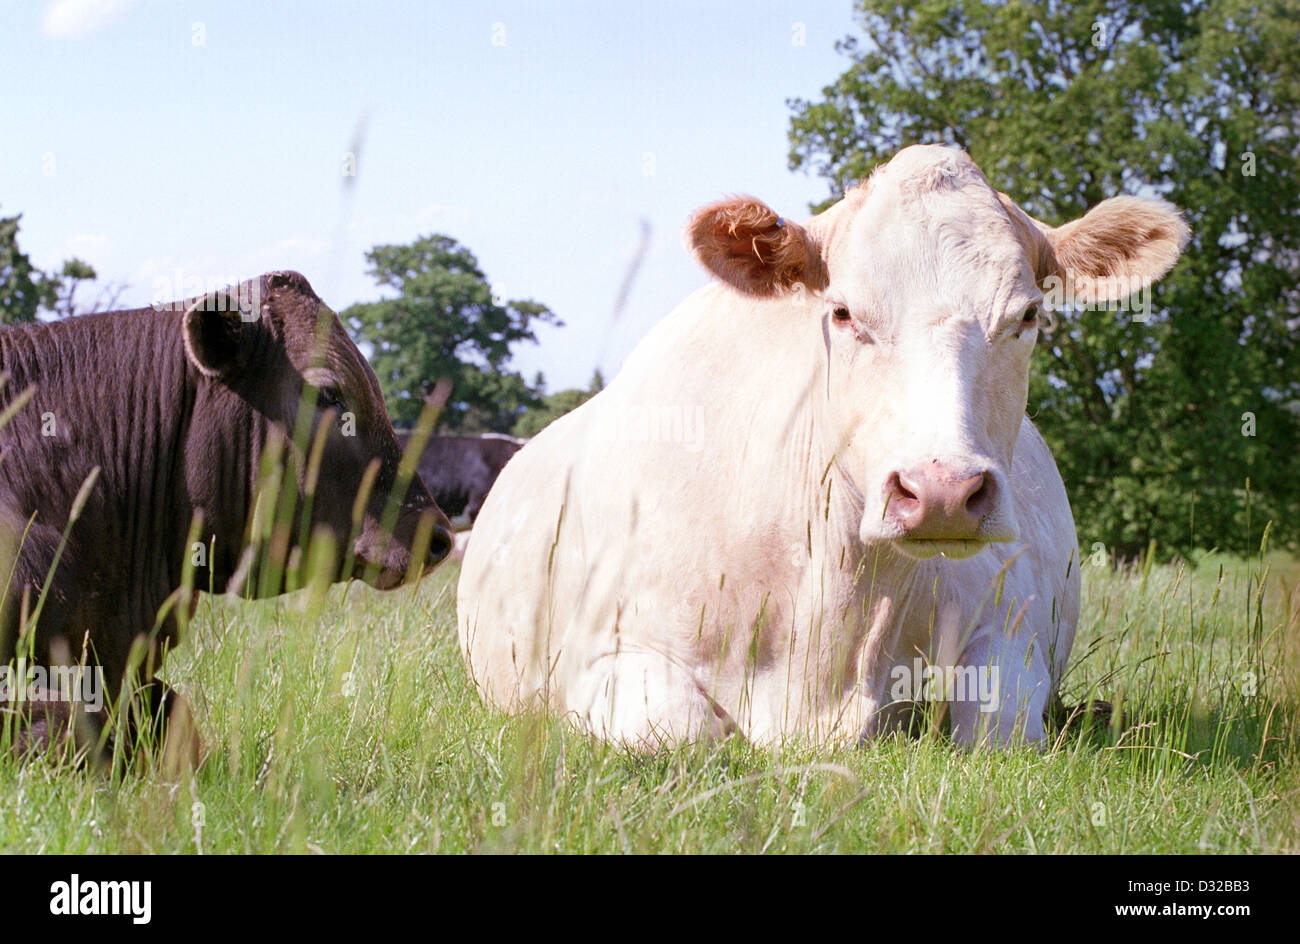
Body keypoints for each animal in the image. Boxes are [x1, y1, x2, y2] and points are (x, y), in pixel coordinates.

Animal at [460, 146, 1190, 754]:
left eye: (1027, 316)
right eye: (842, 313)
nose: (942, 491)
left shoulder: (1009, 623)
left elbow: (995, 724)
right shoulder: (602, 654)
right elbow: (680, 730)